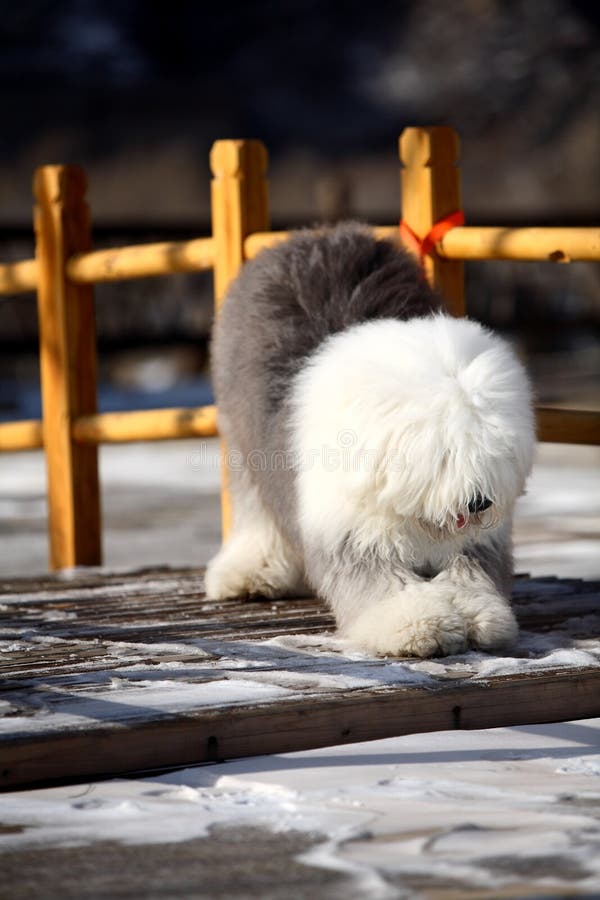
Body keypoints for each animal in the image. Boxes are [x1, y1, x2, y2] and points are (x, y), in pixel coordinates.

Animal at [205, 223, 536, 660]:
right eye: (445, 453)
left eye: (492, 450)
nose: (479, 502)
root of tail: (314, 235)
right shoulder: (351, 532)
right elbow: (379, 584)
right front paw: (420, 625)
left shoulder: (477, 543)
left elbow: (471, 573)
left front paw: (477, 615)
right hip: (245, 443)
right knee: (256, 510)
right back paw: (250, 574)